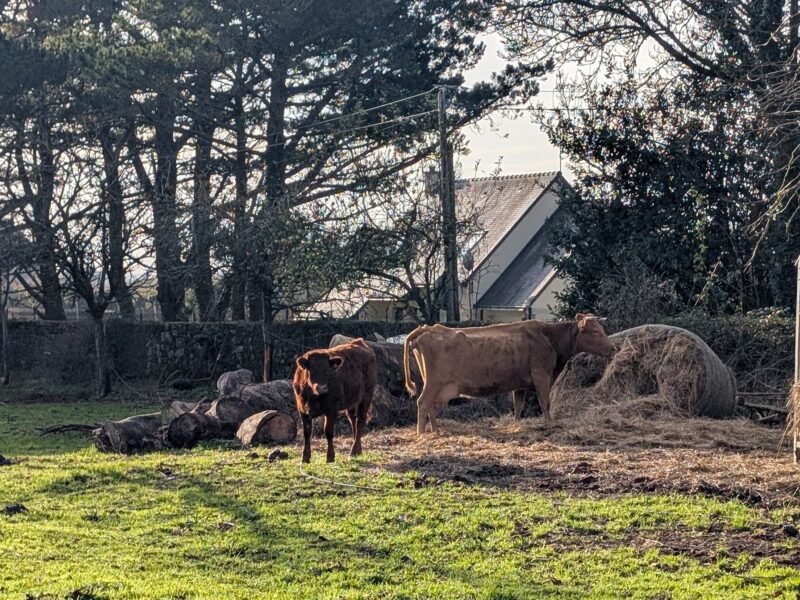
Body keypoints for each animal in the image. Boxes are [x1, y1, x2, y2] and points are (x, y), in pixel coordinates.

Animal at [403, 314, 615, 434]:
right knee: (423, 403)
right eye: (595, 331)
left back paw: (436, 431)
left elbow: (518, 407)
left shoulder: (520, 384)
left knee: (430, 406)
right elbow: (545, 403)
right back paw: (422, 435)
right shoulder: (541, 375)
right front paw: (549, 425)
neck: (549, 337)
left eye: (602, 329)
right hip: (434, 383)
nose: (614, 347)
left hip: (433, 383)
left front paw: (517, 424)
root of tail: (428, 327)